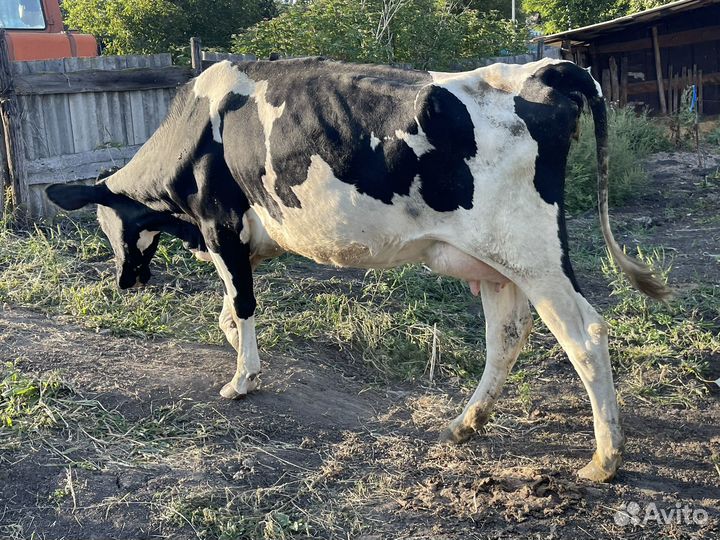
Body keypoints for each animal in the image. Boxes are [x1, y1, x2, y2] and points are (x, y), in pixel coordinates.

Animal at [46, 57, 671, 483]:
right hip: (498, 264)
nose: (126, 280)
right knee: (507, 337)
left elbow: (241, 306)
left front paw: (242, 379)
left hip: (534, 254)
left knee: (585, 334)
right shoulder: (241, 242)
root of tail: (547, 67)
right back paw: (465, 423)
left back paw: (604, 459)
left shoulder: (219, 224)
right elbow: (228, 313)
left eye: (106, 223)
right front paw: (243, 359)